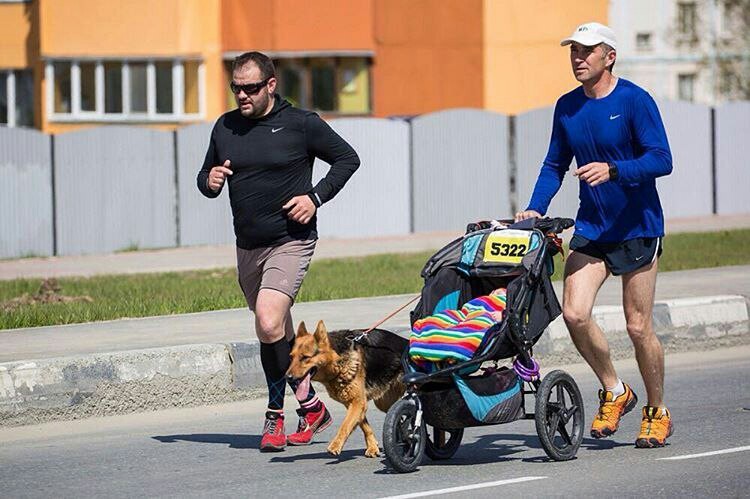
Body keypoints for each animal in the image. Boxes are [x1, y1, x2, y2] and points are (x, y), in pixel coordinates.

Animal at [288, 322, 408, 458]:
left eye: (305, 358)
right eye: (291, 358)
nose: (288, 377)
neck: (337, 360)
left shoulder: (358, 402)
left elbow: (345, 425)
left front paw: (336, 445)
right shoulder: (354, 403)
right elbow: (363, 425)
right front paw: (372, 447)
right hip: (383, 403)